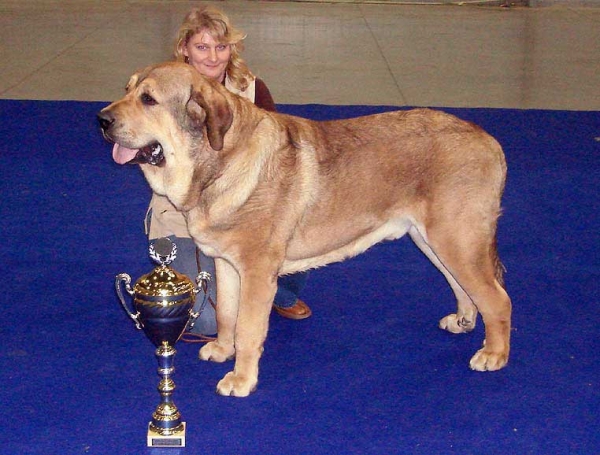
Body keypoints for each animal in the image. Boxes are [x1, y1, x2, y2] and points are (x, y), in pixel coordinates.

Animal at [97, 62, 510, 398]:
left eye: (148, 99)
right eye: (126, 89)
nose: (101, 119)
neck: (218, 163)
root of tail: (489, 141)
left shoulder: (257, 272)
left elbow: (248, 328)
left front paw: (241, 379)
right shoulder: (226, 265)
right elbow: (228, 315)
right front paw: (222, 350)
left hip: (456, 239)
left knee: (497, 298)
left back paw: (493, 355)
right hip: (432, 240)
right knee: (465, 288)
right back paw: (463, 321)